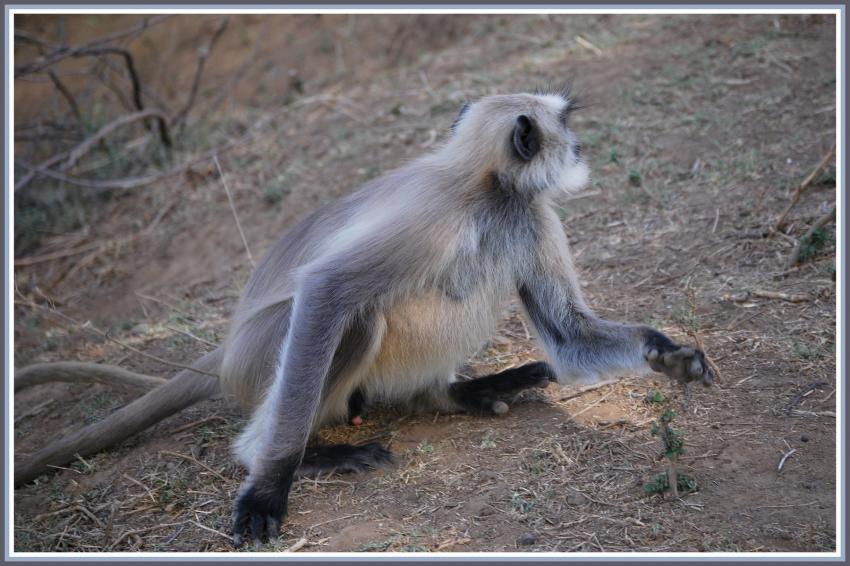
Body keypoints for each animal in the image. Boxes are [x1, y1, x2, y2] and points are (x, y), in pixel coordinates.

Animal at [215, 91, 712, 548]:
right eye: (566, 124)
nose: (579, 146)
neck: (486, 188)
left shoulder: (529, 215)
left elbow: (570, 338)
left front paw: (667, 353)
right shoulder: (435, 219)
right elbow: (325, 290)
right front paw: (268, 487)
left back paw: (454, 393)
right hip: (265, 357)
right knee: (358, 318)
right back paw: (278, 455)